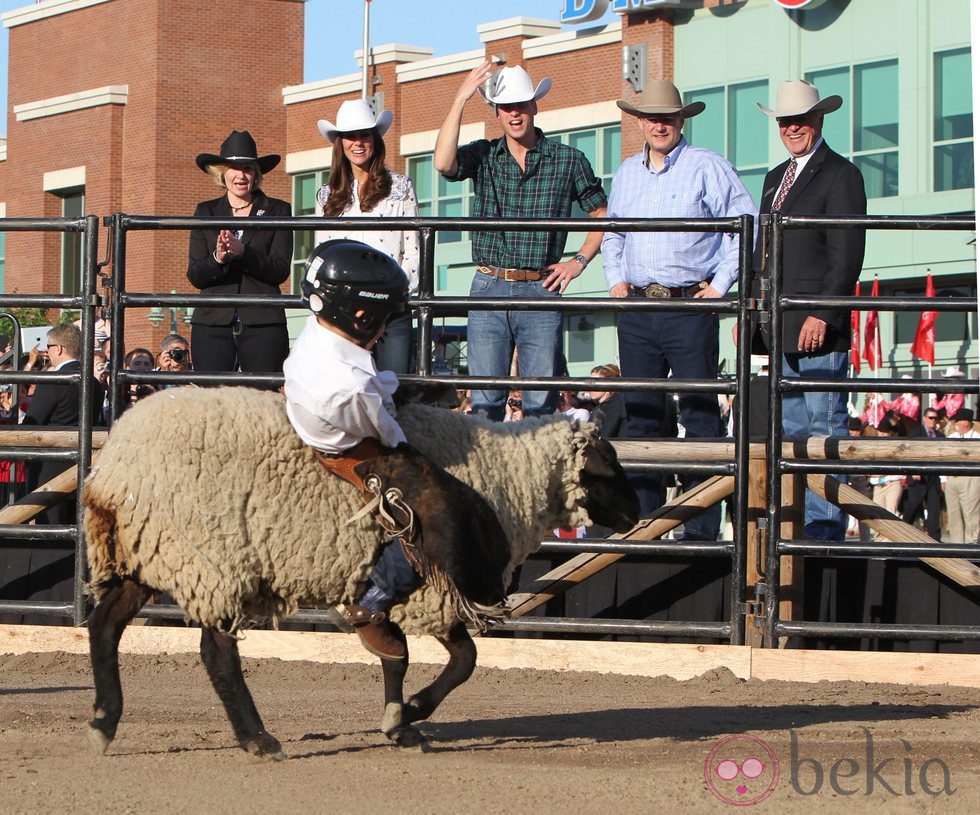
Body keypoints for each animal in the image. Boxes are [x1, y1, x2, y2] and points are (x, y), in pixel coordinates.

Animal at [82, 388, 636, 760]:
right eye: (607, 464)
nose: (633, 515)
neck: (507, 474)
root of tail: (115, 464)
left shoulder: (412, 591)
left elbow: (409, 655)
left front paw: (403, 719)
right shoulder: (433, 586)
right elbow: (457, 660)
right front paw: (409, 712)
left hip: (152, 552)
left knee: (105, 626)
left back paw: (104, 721)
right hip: (214, 559)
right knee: (216, 655)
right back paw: (258, 739)